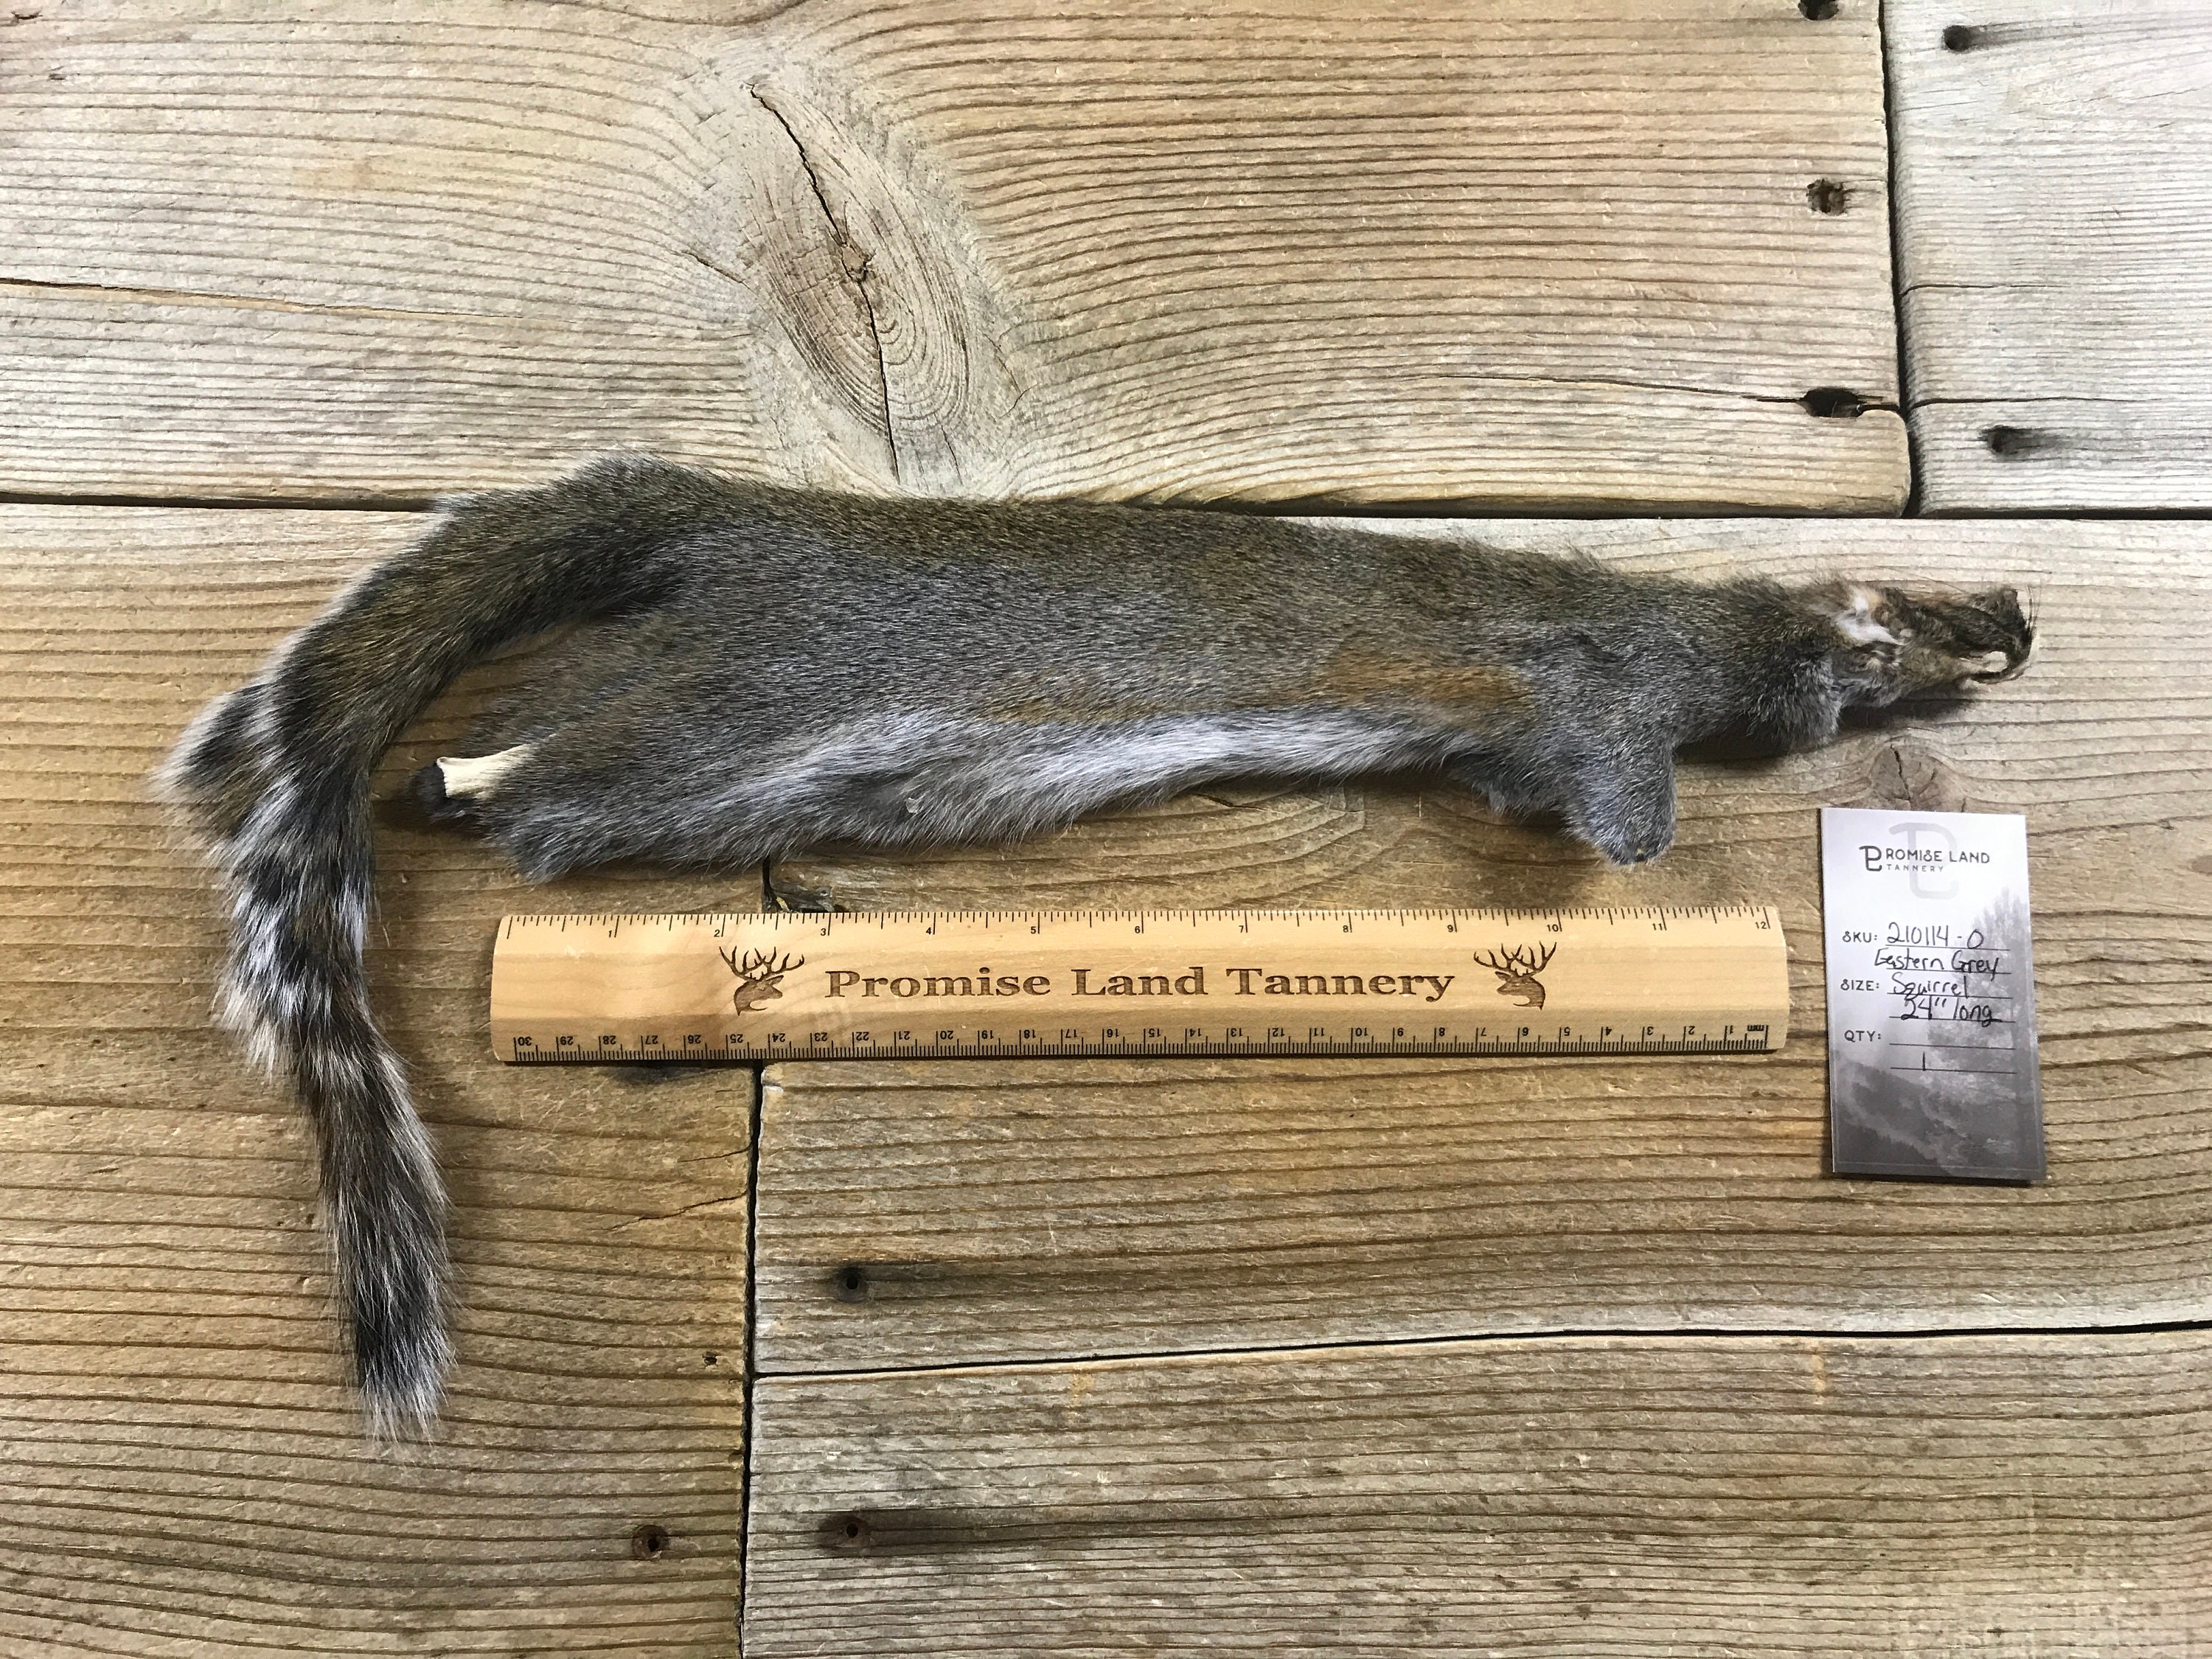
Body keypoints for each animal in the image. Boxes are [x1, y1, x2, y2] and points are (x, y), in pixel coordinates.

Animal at [158, 454, 2033, 1436]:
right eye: (1923, 620)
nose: (2018, 617)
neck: (1705, 642)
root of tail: (731, 520)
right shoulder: (1590, 697)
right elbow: (1604, 781)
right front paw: (1634, 838)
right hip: (725, 711)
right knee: (545, 753)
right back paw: (455, 774)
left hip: (705, 764)